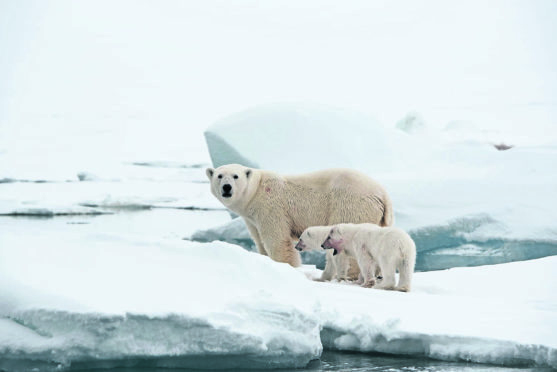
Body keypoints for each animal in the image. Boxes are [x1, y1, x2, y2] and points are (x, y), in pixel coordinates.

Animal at [206, 163, 394, 268]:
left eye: (235, 176)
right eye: (219, 176)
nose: (227, 187)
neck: (256, 190)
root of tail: (383, 194)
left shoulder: (271, 207)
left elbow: (277, 240)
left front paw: (287, 267)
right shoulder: (251, 219)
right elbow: (259, 241)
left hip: (351, 205)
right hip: (378, 218)